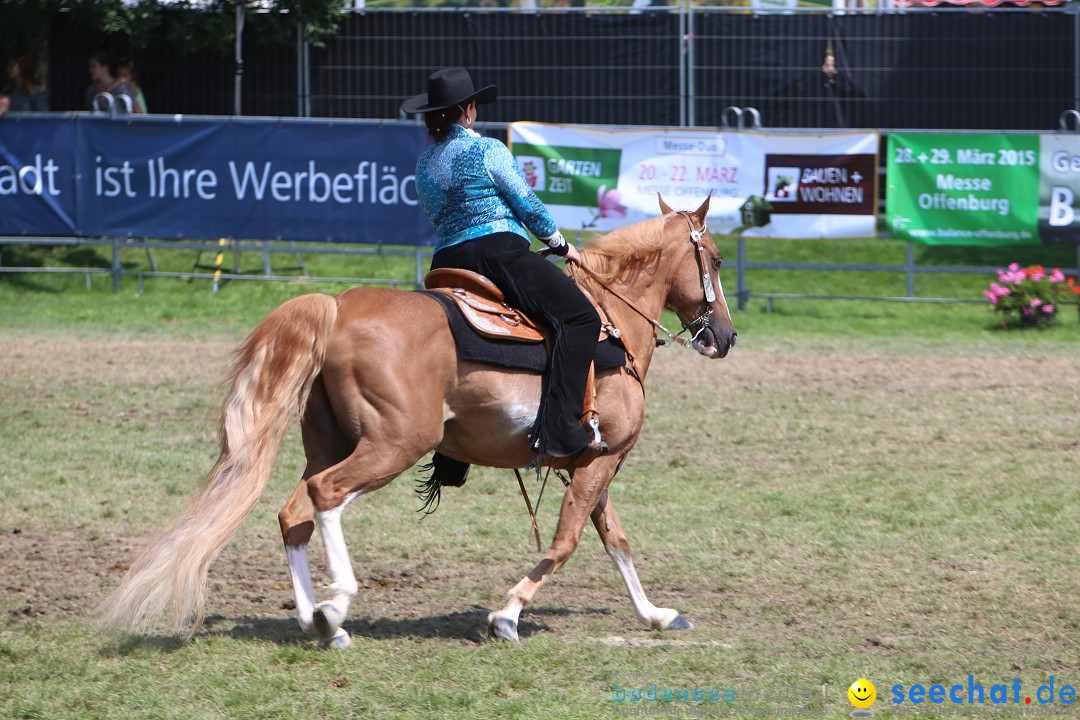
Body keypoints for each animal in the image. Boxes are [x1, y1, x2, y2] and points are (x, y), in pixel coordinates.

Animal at [105, 193, 738, 647]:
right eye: (715, 259)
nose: (727, 338)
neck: (610, 323)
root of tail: (336, 308)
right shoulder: (601, 460)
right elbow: (567, 541)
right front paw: (506, 616)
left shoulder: (591, 460)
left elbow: (616, 541)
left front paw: (657, 615)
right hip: (393, 444)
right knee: (325, 496)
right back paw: (337, 603)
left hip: (334, 442)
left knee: (295, 513)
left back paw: (320, 622)